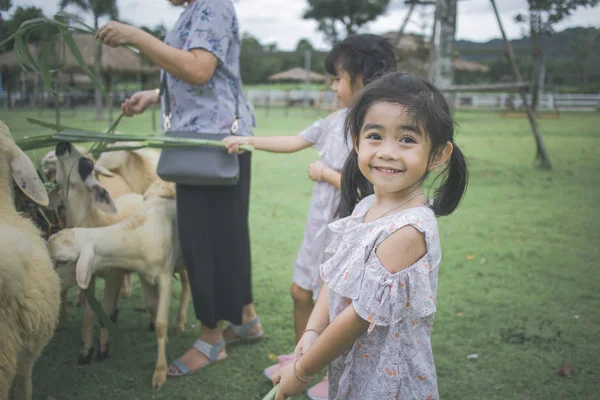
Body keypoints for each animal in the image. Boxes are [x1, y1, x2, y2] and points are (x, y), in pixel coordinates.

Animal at [49, 180, 190, 390]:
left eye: (62, 261)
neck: (139, 234)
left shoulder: (165, 275)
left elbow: (161, 324)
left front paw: (160, 372)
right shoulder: (145, 275)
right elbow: (152, 307)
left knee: (187, 285)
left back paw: (181, 324)